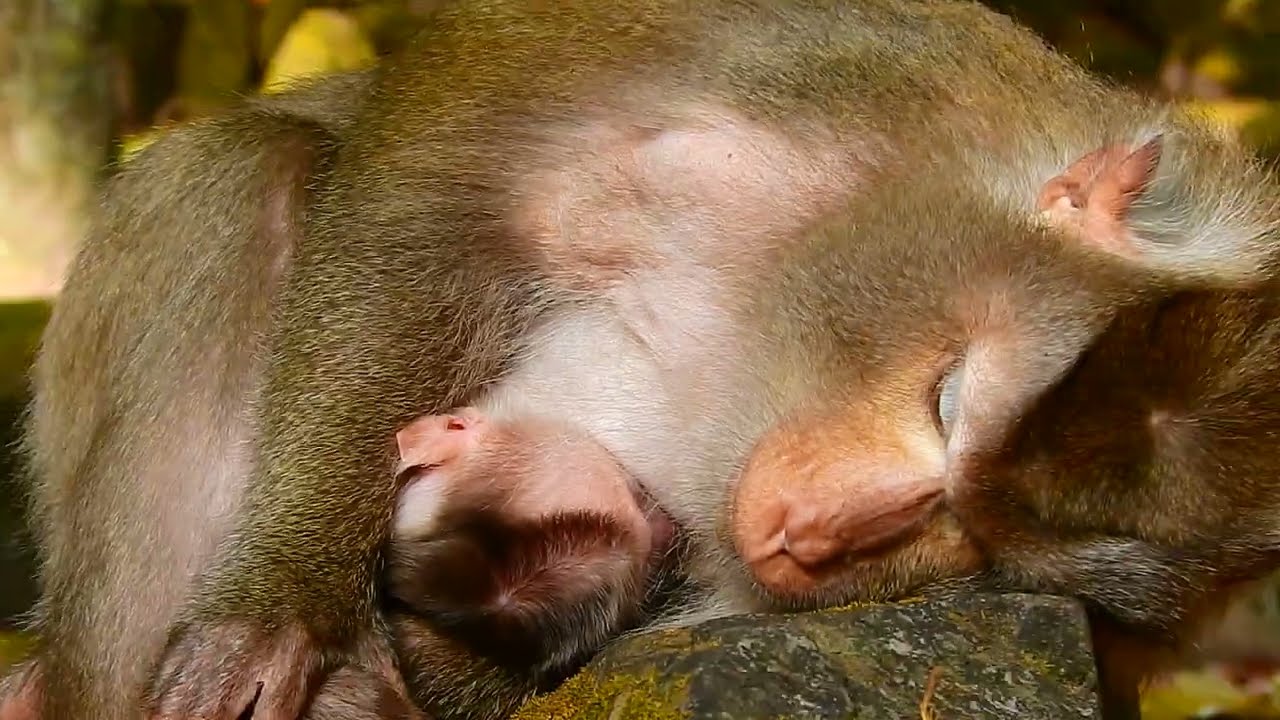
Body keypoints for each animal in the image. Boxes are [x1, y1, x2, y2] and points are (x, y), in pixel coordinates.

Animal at [23, 1, 1280, 719]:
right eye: (947, 397)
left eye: (987, 551)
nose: (814, 540)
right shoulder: (819, 60)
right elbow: (430, 183)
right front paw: (280, 609)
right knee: (250, 179)